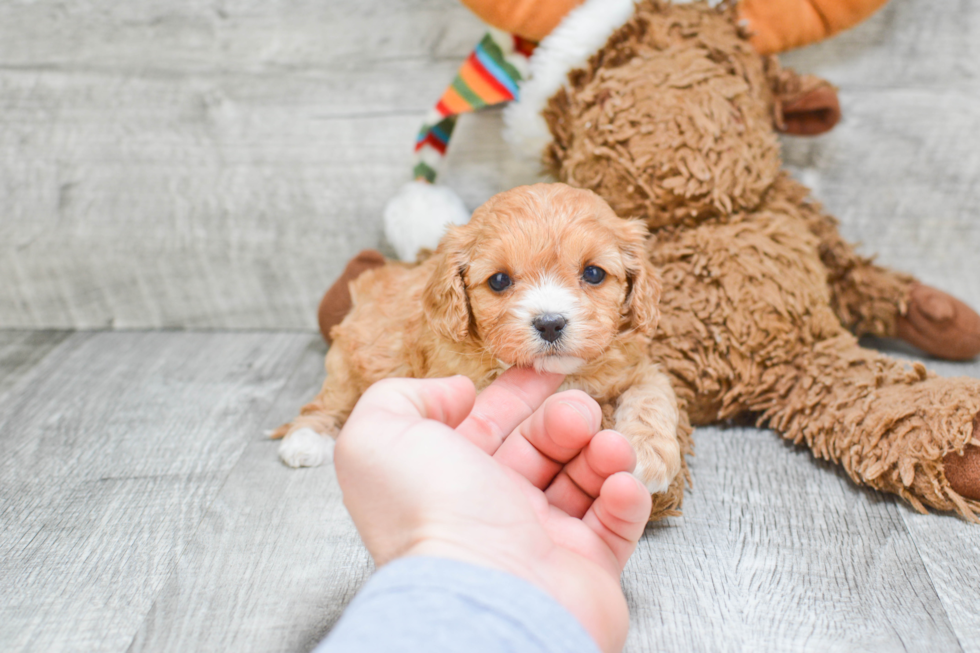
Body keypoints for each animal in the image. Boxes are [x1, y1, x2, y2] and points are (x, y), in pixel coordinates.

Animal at [270, 181, 680, 492]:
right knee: (325, 405)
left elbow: (652, 394)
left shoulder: (633, 365)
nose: (550, 323)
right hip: (347, 365)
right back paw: (305, 441)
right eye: (499, 280)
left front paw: (647, 458)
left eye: (593, 273)